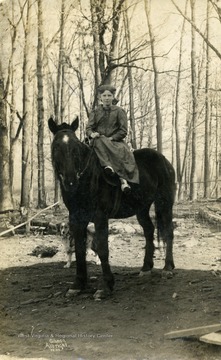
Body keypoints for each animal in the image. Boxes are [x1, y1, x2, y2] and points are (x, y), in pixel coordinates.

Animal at [48, 116, 176, 300]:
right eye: (56, 146)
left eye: (75, 147)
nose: (70, 180)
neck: (87, 179)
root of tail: (164, 160)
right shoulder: (76, 218)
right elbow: (79, 250)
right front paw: (78, 284)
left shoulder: (100, 217)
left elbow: (102, 249)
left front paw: (106, 286)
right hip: (142, 208)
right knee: (149, 231)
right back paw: (146, 268)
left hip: (165, 203)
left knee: (168, 233)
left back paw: (168, 268)